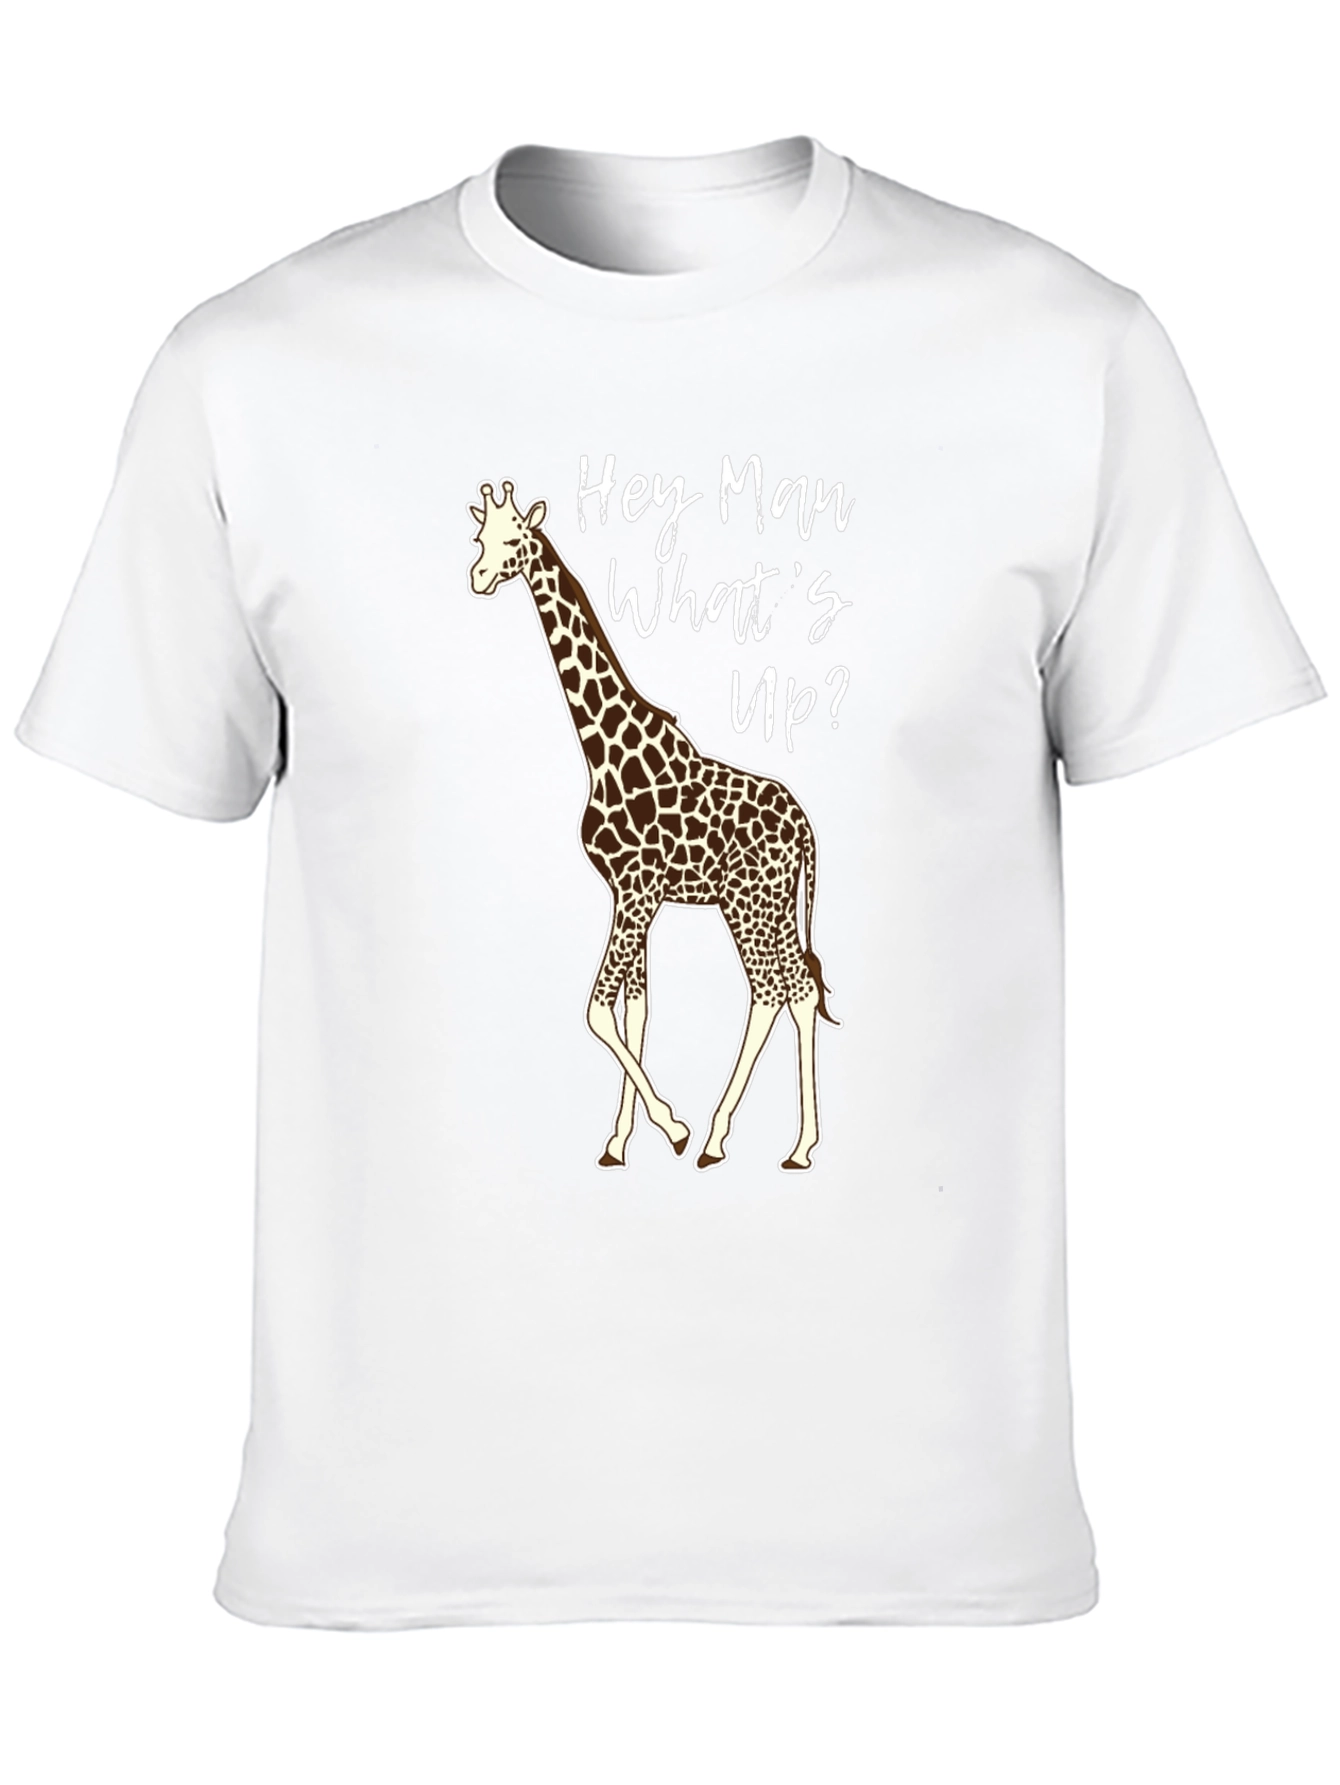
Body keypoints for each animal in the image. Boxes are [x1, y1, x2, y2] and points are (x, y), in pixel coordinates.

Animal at [467, 479, 837, 1171]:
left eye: (514, 540)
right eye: (480, 537)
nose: (477, 577)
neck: (603, 747)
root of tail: (805, 825)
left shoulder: (636, 892)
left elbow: (598, 1012)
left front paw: (674, 1127)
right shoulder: (630, 894)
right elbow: (633, 1011)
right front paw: (620, 1142)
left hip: (748, 903)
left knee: (773, 991)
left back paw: (723, 1139)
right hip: (770, 905)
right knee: (798, 992)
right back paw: (797, 1145)